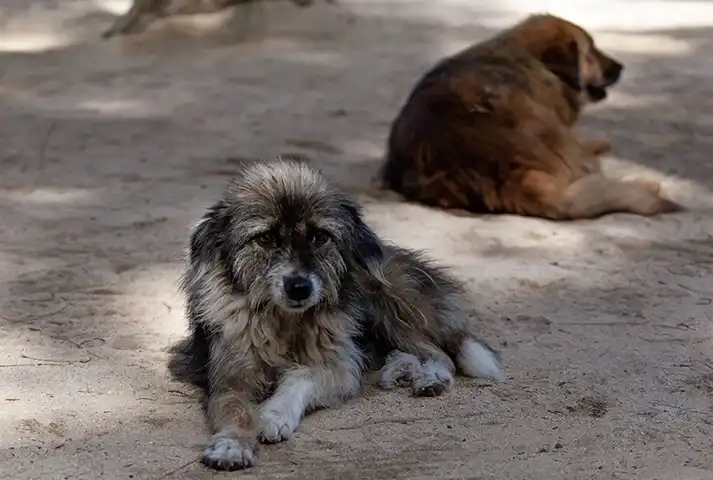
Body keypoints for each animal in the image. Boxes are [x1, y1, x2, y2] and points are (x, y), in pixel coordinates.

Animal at [177, 159, 500, 470]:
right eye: (266, 238)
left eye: (320, 236)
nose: (299, 288)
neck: (285, 323)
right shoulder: (229, 377)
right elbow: (236, 411)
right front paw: (231, 445)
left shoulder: (338, 366)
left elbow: (302, 377)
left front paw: (274, 414)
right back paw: (399, 370)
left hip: (387, 304)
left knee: (438, 352)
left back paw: (429, 377)